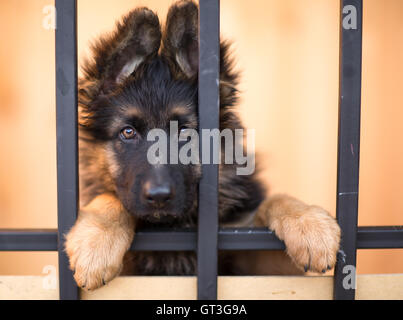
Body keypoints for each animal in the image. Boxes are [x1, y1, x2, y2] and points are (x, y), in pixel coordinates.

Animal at [65, 0, 340, 290]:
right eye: (128, 132)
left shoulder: (256, 256)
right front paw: (96, 241)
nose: (159, 196)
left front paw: (308, 223)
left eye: (185, 131)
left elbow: (273, 200)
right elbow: (109, 197)